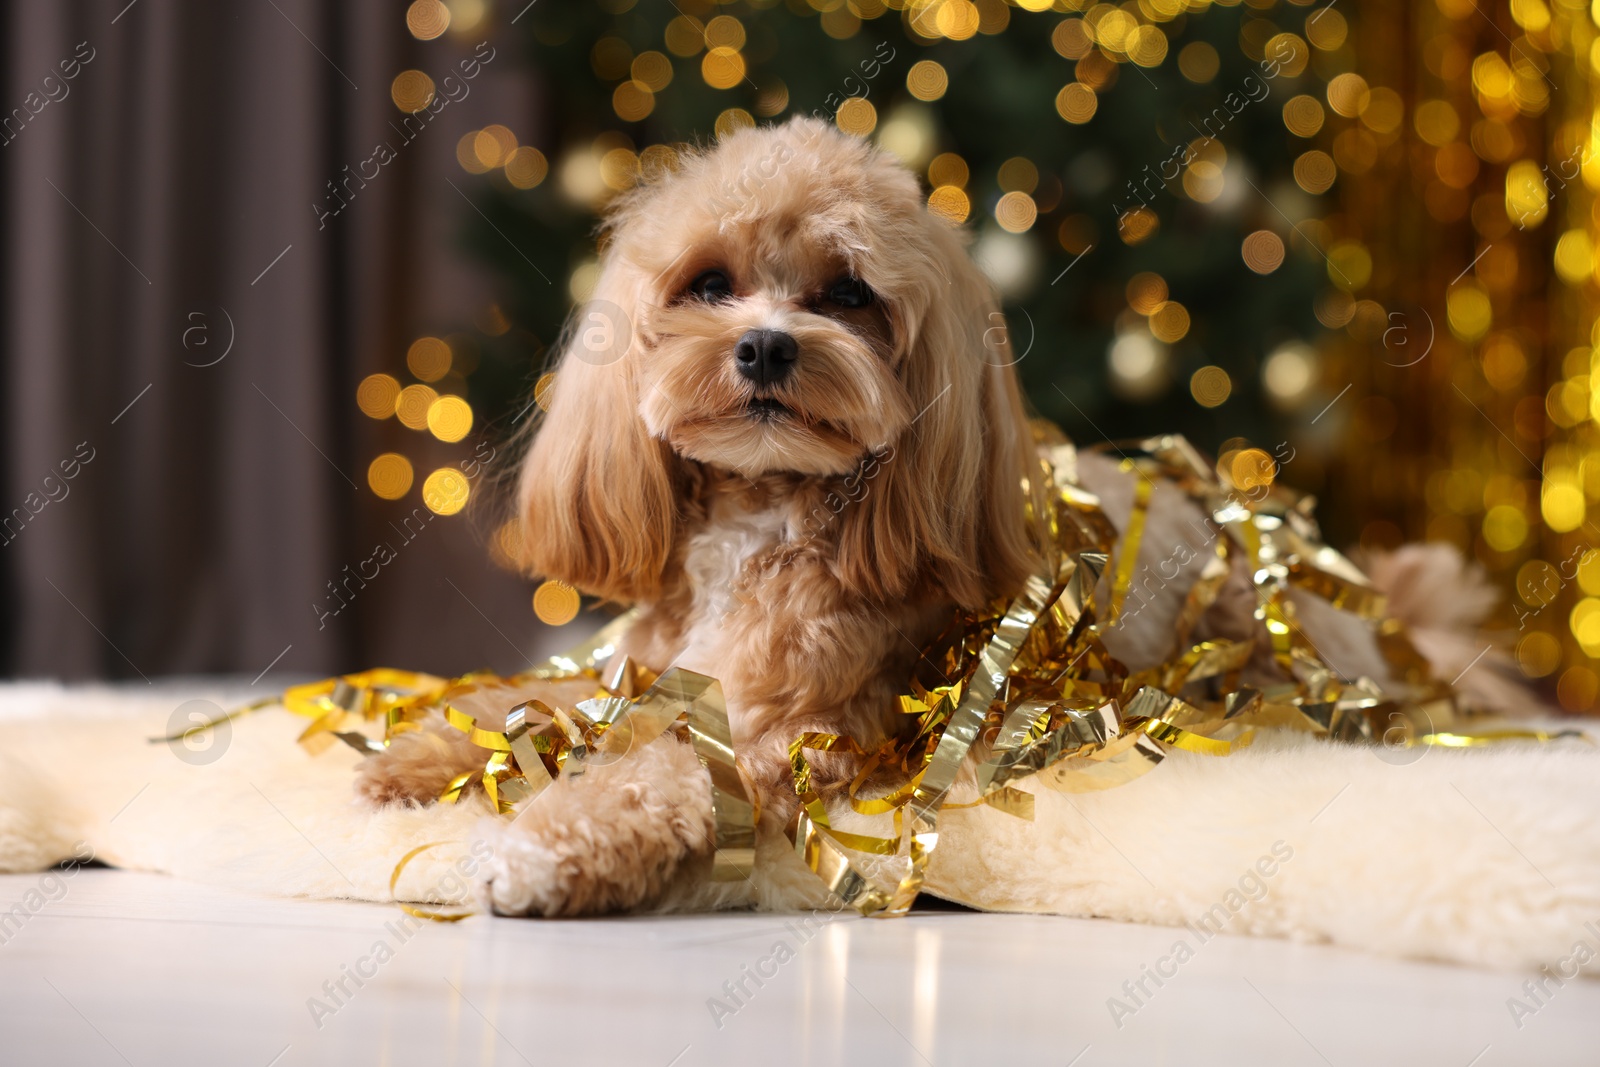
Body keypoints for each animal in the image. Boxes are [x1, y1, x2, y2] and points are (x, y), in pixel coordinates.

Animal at [356, 115, 1516, 921]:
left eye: (847, 294)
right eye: (710, 282)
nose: (766, 345)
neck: (762, 522)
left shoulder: (774, 732)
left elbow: (652, 775)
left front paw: (531, 850)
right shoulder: (642, 669)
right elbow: (539, 696)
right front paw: (421, 752)